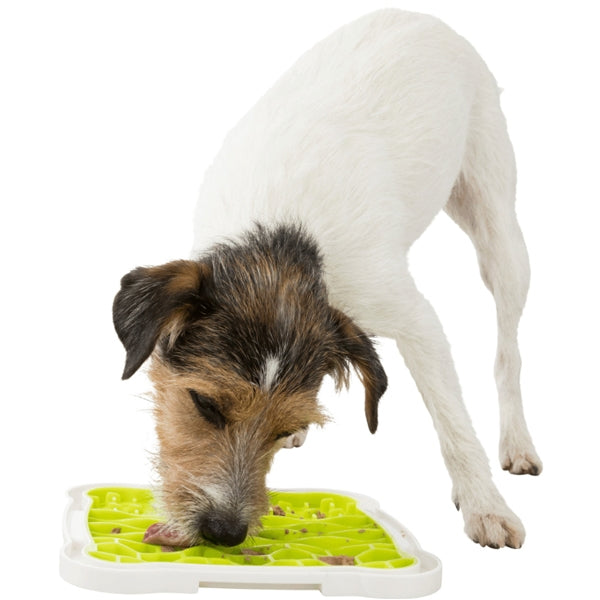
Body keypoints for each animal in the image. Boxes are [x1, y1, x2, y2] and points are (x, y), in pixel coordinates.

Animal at [113, 8, 544, 548]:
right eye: (205, 405)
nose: (224, 532)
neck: (283, 242)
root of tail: (422, 16)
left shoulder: (415, 320)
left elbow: (453, 421)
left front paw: (485, 505)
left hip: (500, 235)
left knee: (509, 352)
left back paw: (517, 442)